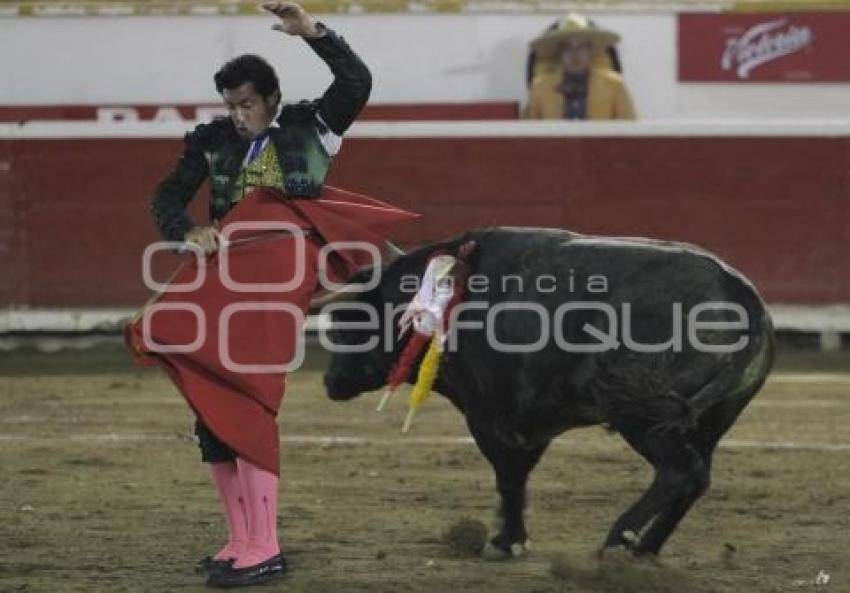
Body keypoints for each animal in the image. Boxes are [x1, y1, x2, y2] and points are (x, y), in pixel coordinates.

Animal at [318, 224, 776, 556]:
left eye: (345, 323)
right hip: (709, 421)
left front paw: (506, 542)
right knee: (696, 479)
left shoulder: (489, 417)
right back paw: (646, 548)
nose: (329, 382)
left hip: (641, 415)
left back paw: (619, 540)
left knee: (680, 472)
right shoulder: (529, 422)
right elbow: (519, 475)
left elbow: (509, 477)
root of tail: (745, 298)